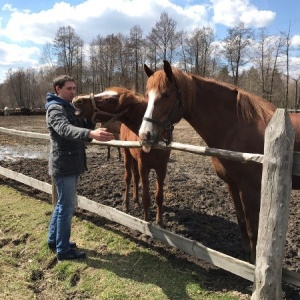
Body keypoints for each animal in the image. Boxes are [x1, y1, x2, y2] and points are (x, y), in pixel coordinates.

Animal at [72, 86, 171, 225]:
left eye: (109, 100)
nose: (77, 100)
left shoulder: (162, 168)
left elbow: (159, 197)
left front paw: (160, 222)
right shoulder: (144, 167)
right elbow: (146, 198)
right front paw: (146, 222)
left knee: (135, 177)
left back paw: (135, 200)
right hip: (127, 155)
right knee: (129, 178)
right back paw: (127, 204)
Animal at [139, 59, 300, 262]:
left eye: (166, 94)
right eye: (147, 95)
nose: (145, 135)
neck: (237, 128)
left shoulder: (250, 190)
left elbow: (253, 229)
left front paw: (253, 262)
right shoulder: (233, 185)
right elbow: (241, 221)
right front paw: (245, 255)